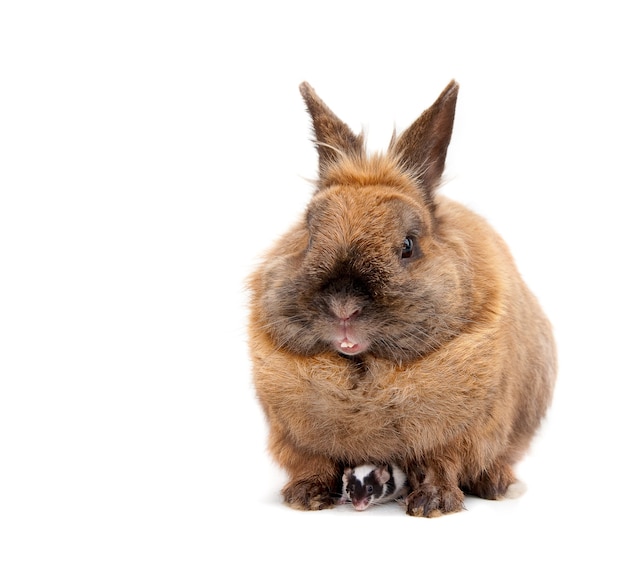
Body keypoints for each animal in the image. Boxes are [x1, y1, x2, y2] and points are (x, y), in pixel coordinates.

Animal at [246, 80, 552, 516]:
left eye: (408, 245)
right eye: (307, 237)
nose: (344, 307)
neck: (364, 373)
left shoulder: (459, 432)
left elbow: (443, 463)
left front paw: (432, 504)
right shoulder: (297, 437)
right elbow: (313, 462)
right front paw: (306, 496)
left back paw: (498, 484)